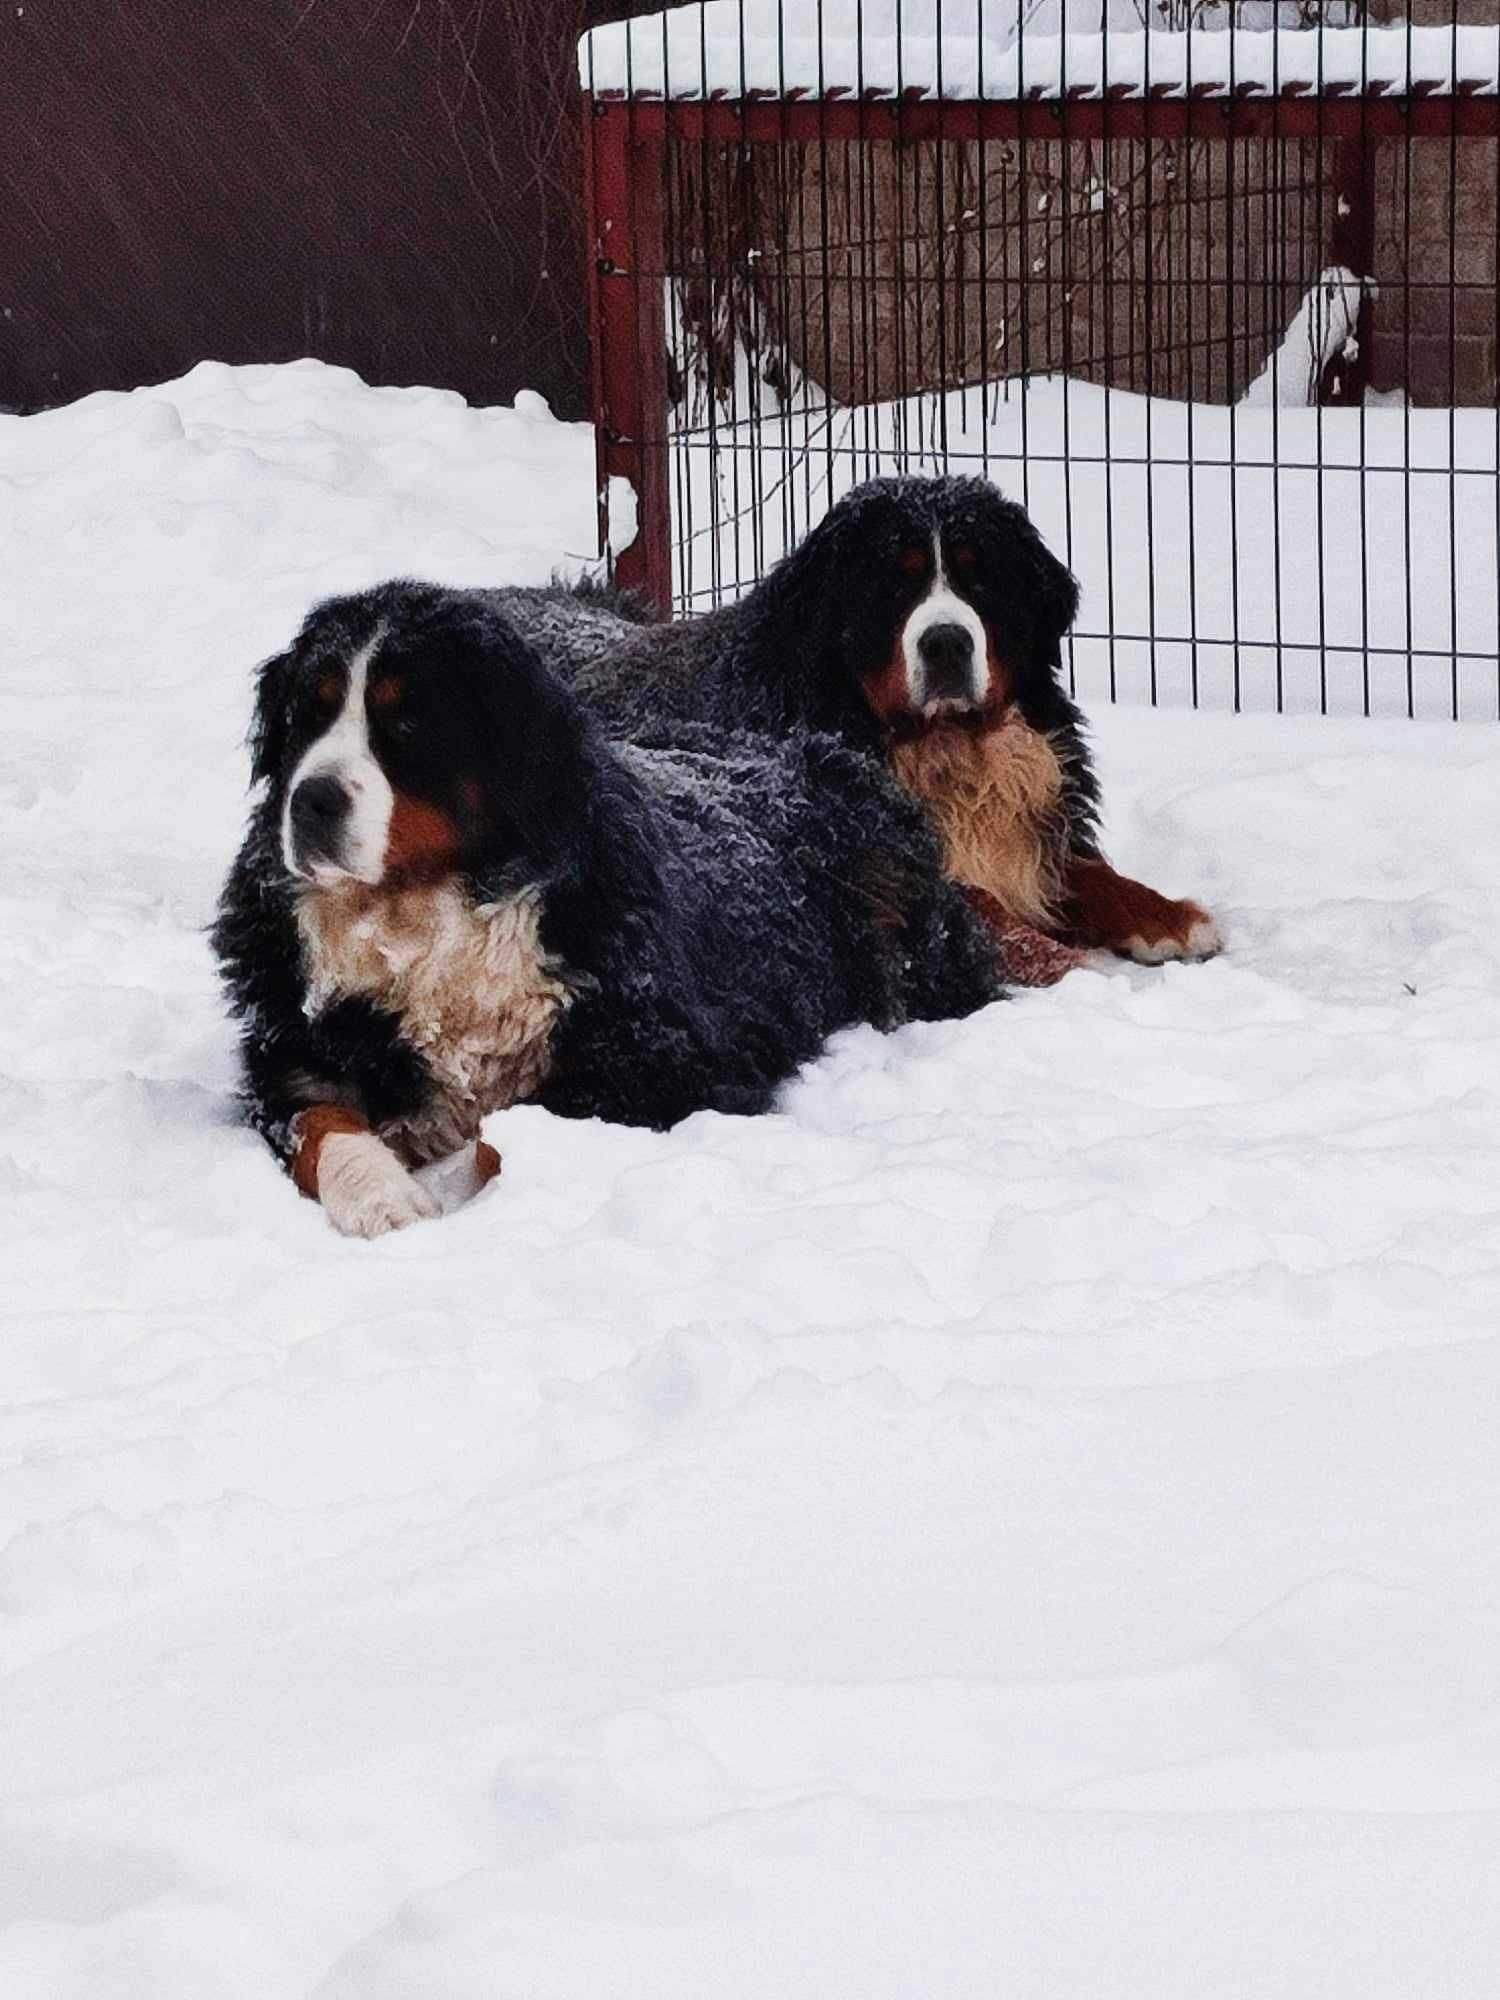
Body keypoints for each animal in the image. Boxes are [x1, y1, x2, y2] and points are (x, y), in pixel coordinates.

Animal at [212, 576, 1004, 1232]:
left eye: (405, 726)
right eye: (306, 717)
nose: (311, 801)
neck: (427, 919)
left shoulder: (669, 1069)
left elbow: (506, 1136)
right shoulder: (294, 1061)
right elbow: (323, 1123)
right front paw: (384, 1196)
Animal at [494, 478, 1224, 992]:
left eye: (979, 576)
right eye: (892, 585)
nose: (947, 643)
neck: (942, 747)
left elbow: (1093, 873)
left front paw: (1169, 917)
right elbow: (986, 907)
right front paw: (1074, 966)